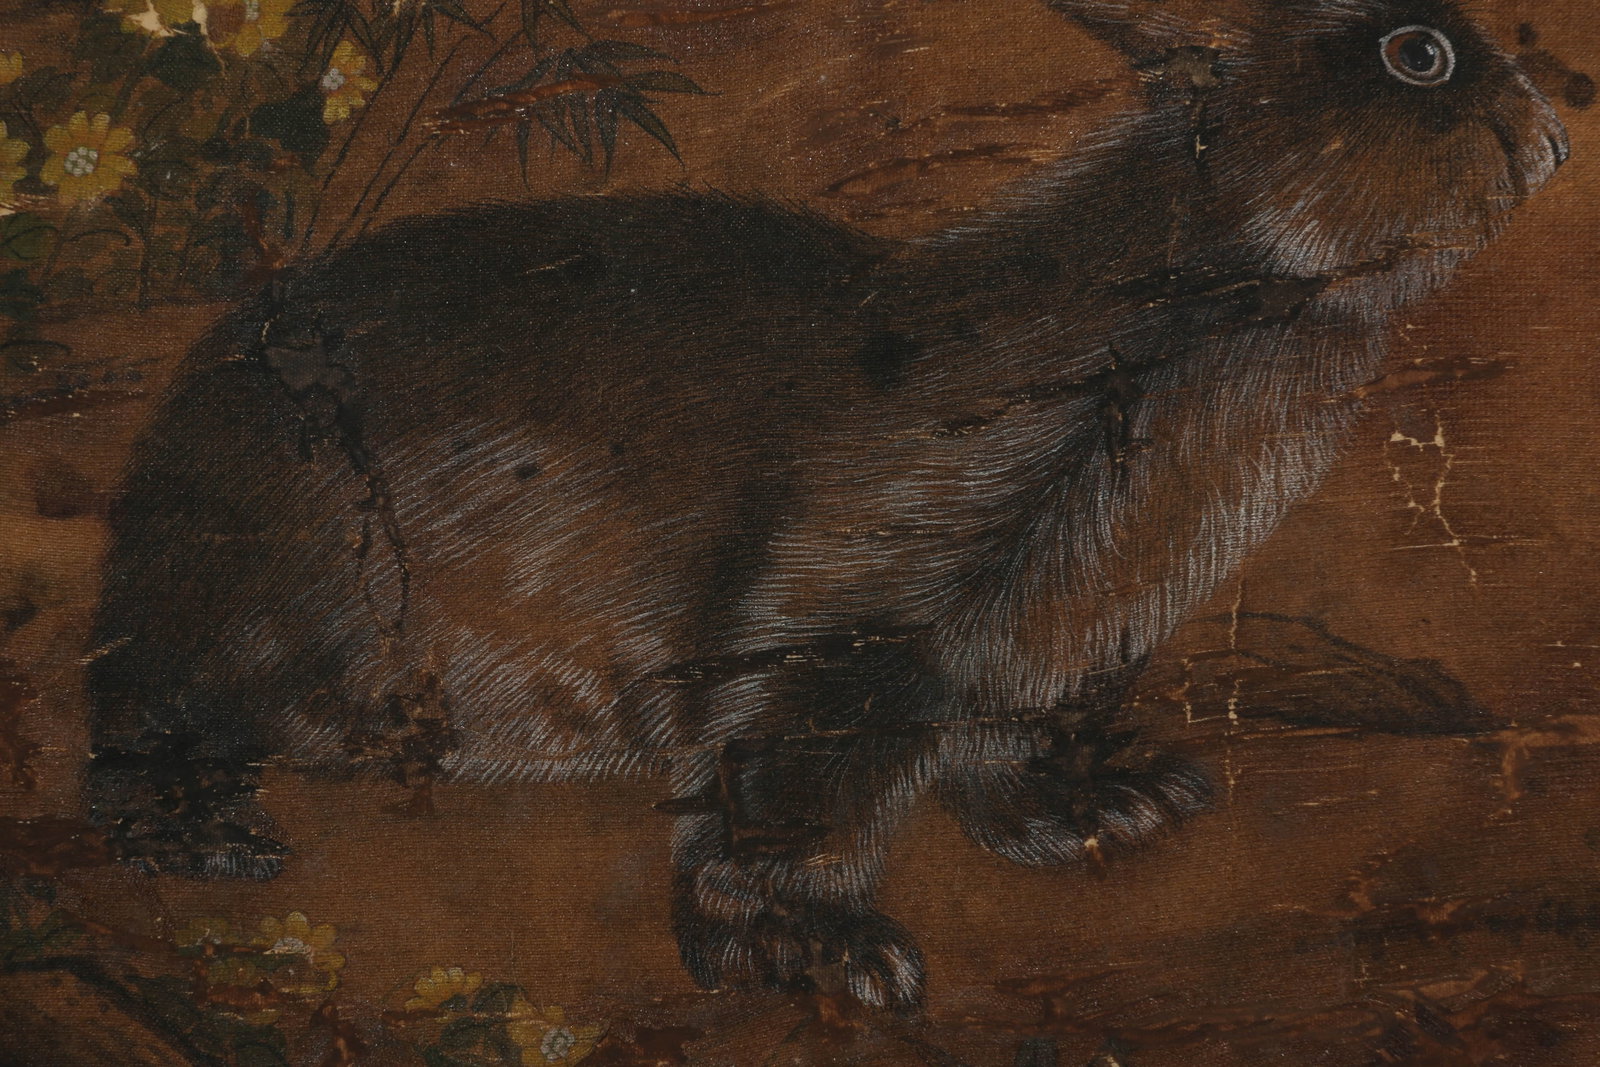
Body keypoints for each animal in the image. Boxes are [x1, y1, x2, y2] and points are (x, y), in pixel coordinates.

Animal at [84, 0, 1567, 1012]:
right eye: (1416, 55)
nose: (1562, 125)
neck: (1196, 290)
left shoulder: (1040, 641)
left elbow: (998, 755)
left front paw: (1112, 804)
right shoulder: (856, 604)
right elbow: (786, 788)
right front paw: (827, 954)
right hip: (282, 596)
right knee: (128, 737)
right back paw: (210, 832)